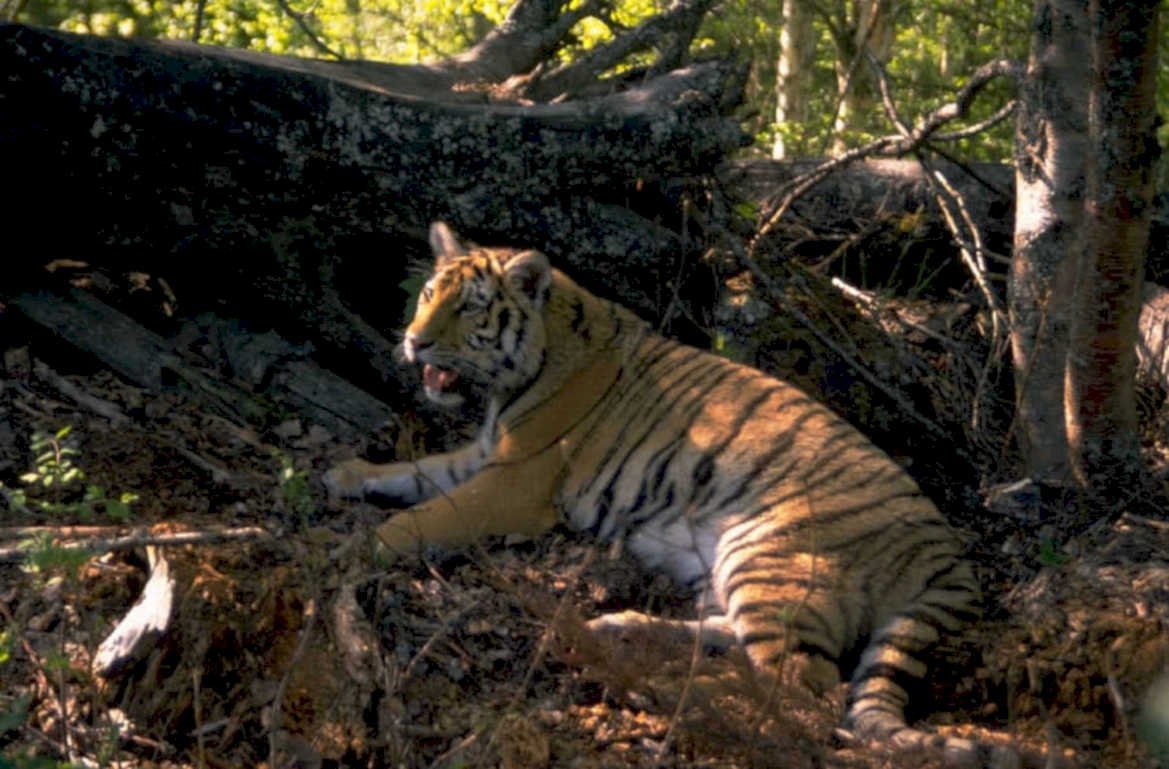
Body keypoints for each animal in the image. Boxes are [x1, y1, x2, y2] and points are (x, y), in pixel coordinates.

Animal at [325, 221, 984, 763]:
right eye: (428, 295)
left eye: (470, 308)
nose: (414, 341)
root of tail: (949, 555)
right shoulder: (486, 456)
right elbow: (415, 470)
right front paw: (343, 474)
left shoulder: (514, 482)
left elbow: (422, 516)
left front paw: (355, 548)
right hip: (729, 564)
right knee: (736, 640)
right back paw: (623, 628)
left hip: (768, 550)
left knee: (807, 689)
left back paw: (680, 689)